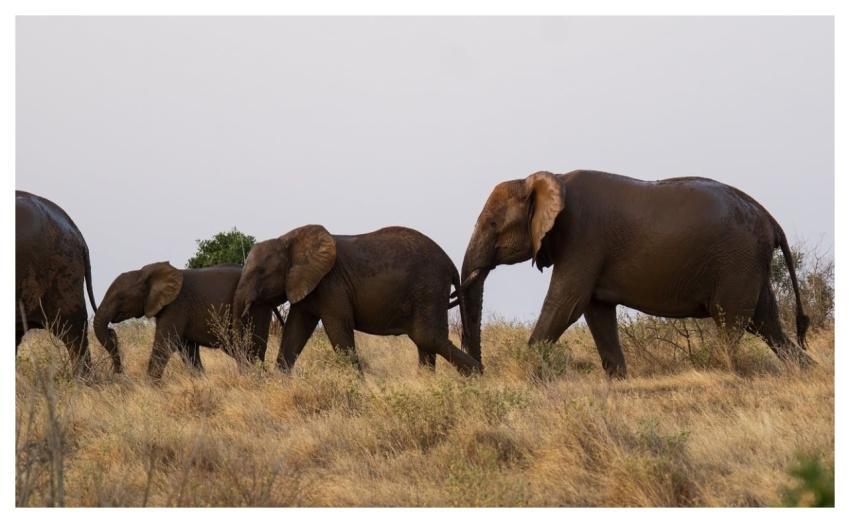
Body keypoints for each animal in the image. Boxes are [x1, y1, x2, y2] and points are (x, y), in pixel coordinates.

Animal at [93, 262, 283, 379]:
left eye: (121, 298)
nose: (118, 373)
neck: (145, 272)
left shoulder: (176, 306)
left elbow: (165, 344)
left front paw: (150, 386)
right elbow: (187, 350)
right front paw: (200, 380)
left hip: (256, 309)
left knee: (251, 348)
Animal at [232, 225, 482, 375]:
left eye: (261, 272)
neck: (288, 240)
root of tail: (450, 262)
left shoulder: (331, 284)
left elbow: (339, 329)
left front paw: (358, 388)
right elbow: (295, 331)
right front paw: (280, 381)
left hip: (428, 286)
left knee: (427, 337)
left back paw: (477, 376)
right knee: (425, 342)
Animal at [457, 170, 812, 378]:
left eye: (493, 224)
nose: (480, 372)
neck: (549, 177)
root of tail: (771, 219)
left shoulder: (582, 237)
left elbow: (566, 304)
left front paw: (526, 375)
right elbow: (595, 310)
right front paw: (617, 379)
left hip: (738, 259)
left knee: (732, 320)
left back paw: (727, 374)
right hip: (749, 263)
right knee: (766, 323)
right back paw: (808, 372)